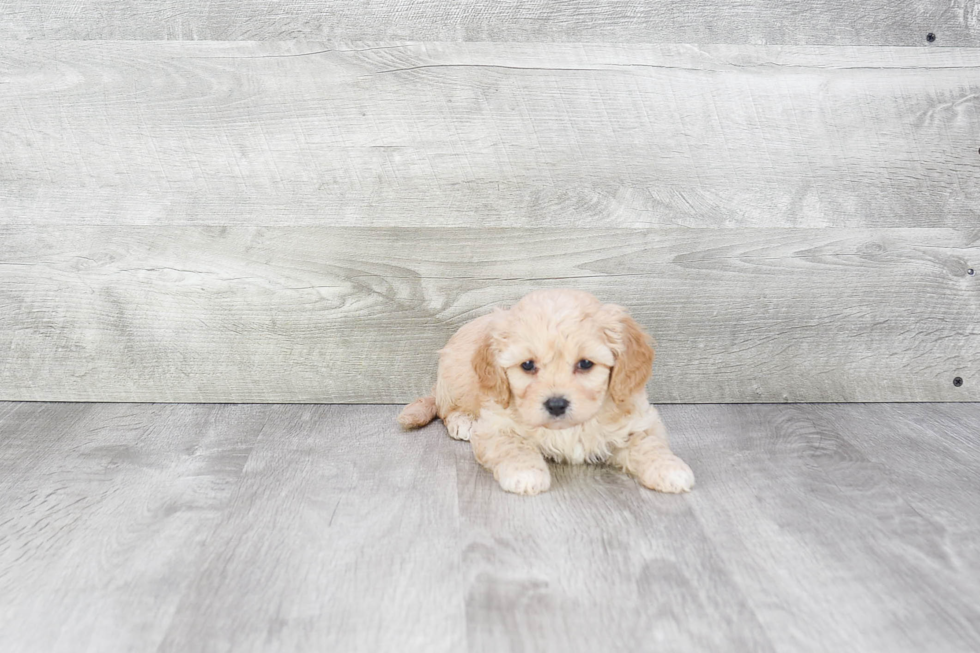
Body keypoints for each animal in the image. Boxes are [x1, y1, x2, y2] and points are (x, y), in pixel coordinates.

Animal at [394, 288, 692, 496]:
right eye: (527, 365)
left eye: (585, 364)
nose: (556, 404)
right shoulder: (495, 424)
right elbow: (513, 446)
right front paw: (525, 474)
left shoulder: (637, 418)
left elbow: (649, 445)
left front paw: (670, 469)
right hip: (455, 377)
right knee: (445, 407)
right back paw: (462, 421)